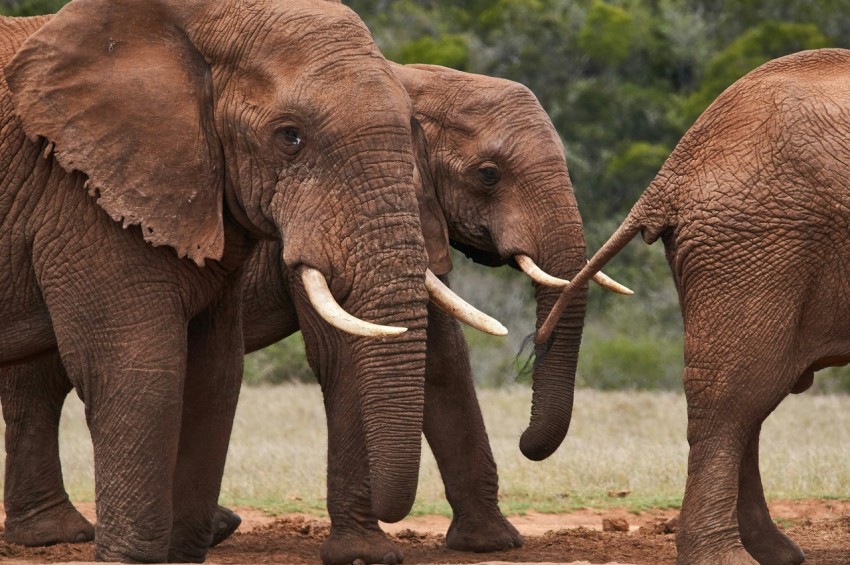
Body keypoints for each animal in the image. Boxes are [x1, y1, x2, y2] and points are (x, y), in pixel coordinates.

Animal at [1, 61, 628, 564]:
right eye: (489, 174)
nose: (528, 442)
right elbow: (346, 350)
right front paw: (364, 554)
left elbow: (442, 358)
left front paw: (492, 545)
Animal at [532, 48, 850, 564]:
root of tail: (677, 167)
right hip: (757, 240)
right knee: (735, 393)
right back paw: (733, 558)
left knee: (744, 399)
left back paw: (773, 553)